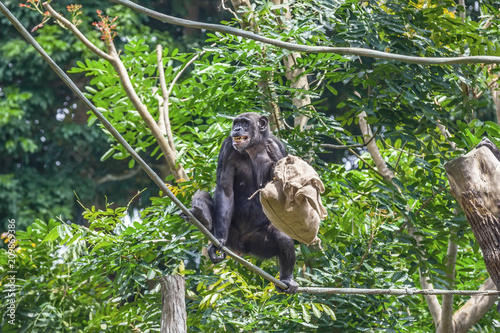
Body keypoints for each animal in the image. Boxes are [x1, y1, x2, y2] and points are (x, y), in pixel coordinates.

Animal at [189, 113, 294, 292]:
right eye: (237, 123)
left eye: (245, 123)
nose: (237, 128)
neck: (254, 147)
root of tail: (241, 247)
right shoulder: (226, 149)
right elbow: (225, 190)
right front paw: (218, 240)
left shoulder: (279, 149)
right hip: (231, 234)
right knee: (203, 195)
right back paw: (202, 216)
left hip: (260, 243)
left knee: (283, 237)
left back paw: (287, 280)